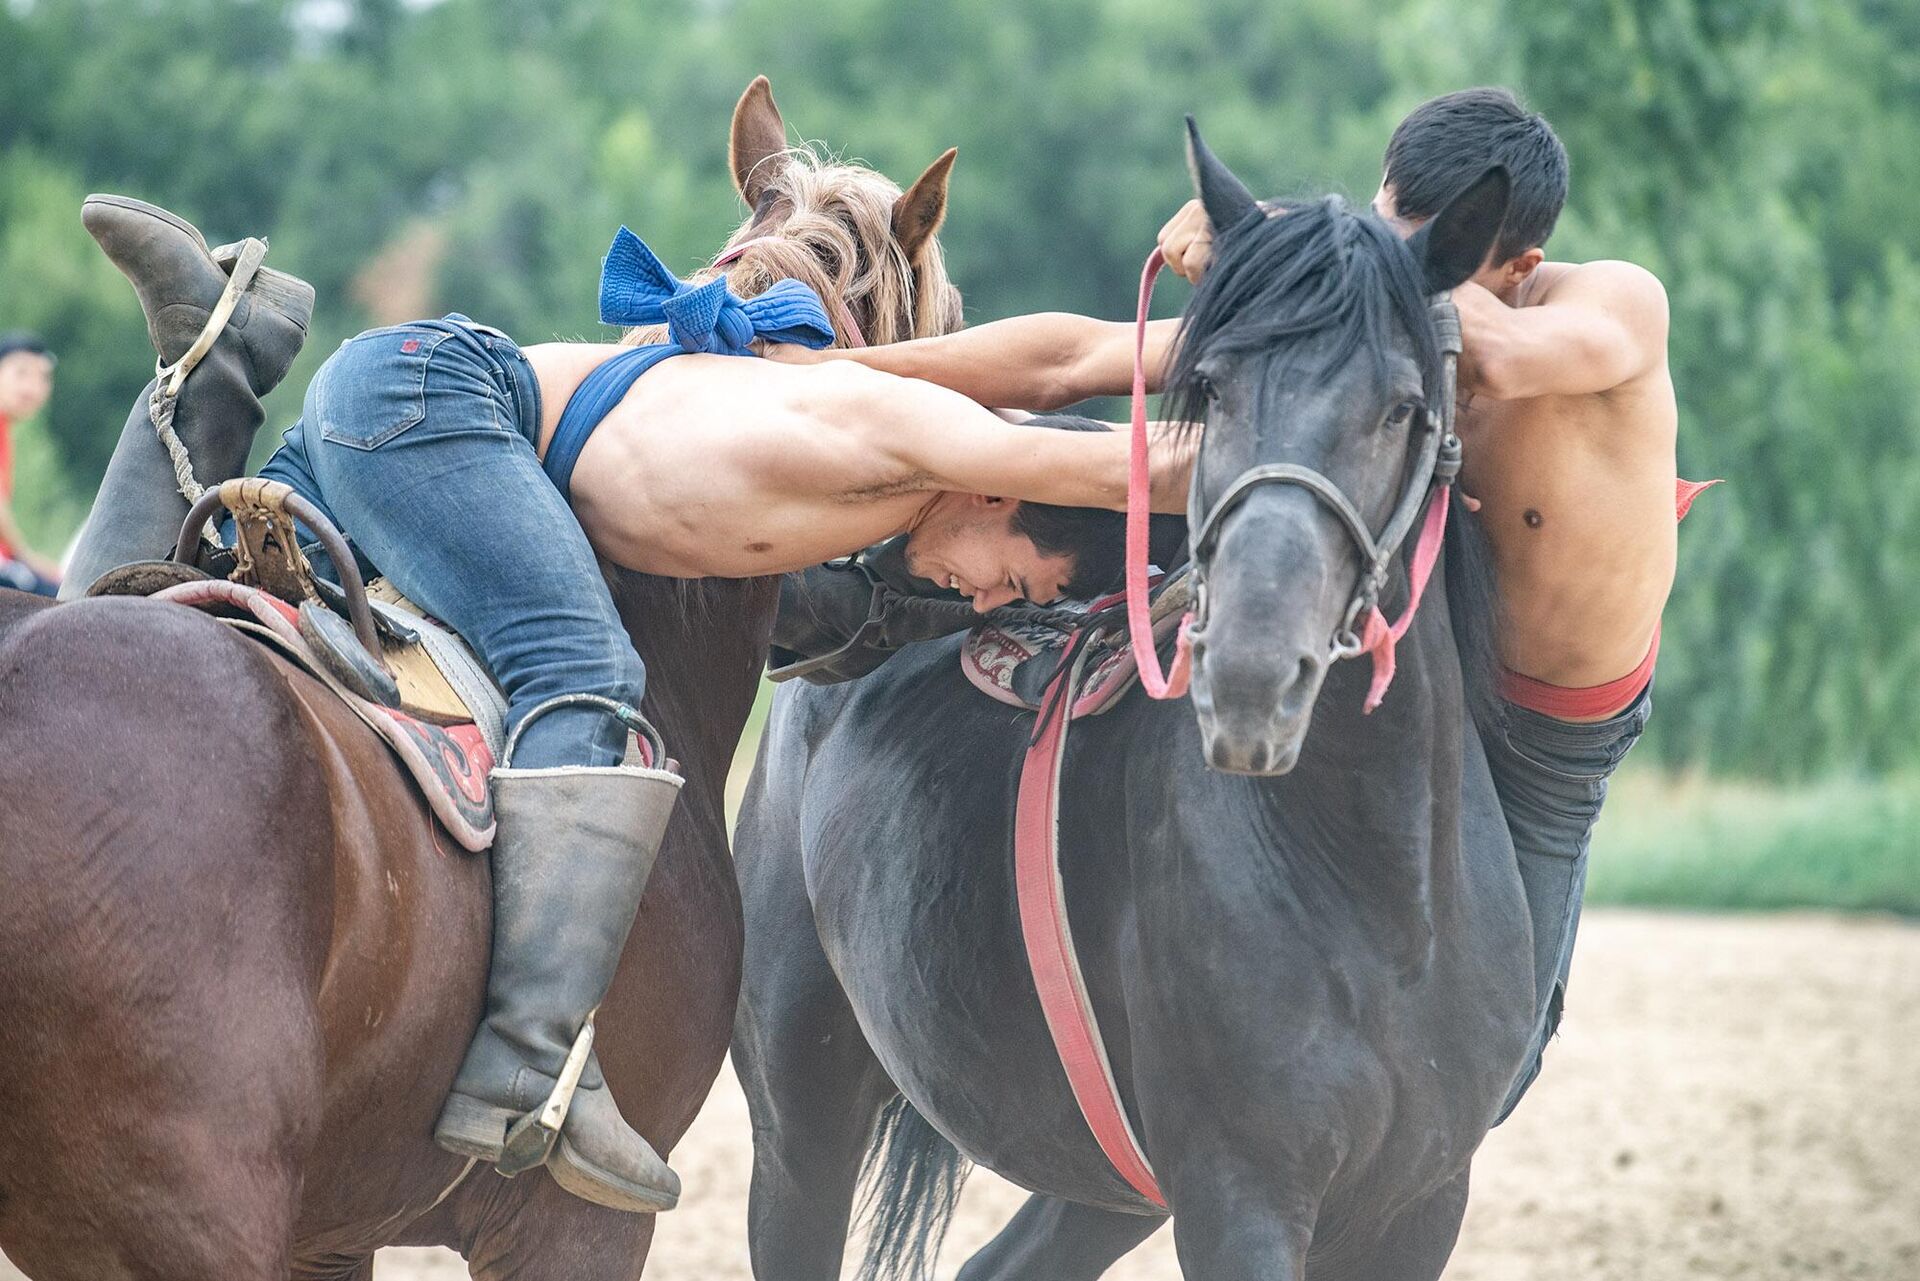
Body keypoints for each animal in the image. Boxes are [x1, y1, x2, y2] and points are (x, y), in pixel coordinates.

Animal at [729, 127, 1528, 1281]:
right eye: (1212, 388)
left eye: (1404, 406)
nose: (1250, 673)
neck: (1374, 894)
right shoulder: (1239, 1198)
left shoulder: (1417, 1205)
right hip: (802, 1126)